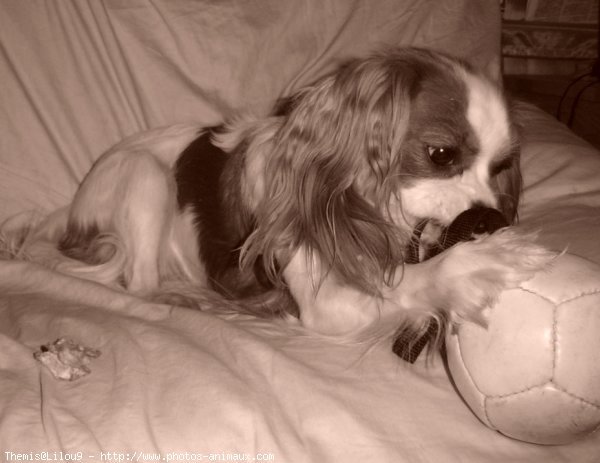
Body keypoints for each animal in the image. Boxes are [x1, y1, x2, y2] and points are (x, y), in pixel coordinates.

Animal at [7, 48, 556, 340]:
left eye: (502, 168)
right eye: (441, 154)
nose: (490, 221)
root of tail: (70, 209)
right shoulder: (328, 304)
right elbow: (415, 279)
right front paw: (482, 263)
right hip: (145, 176)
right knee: (139, 284)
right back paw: (187, 298)